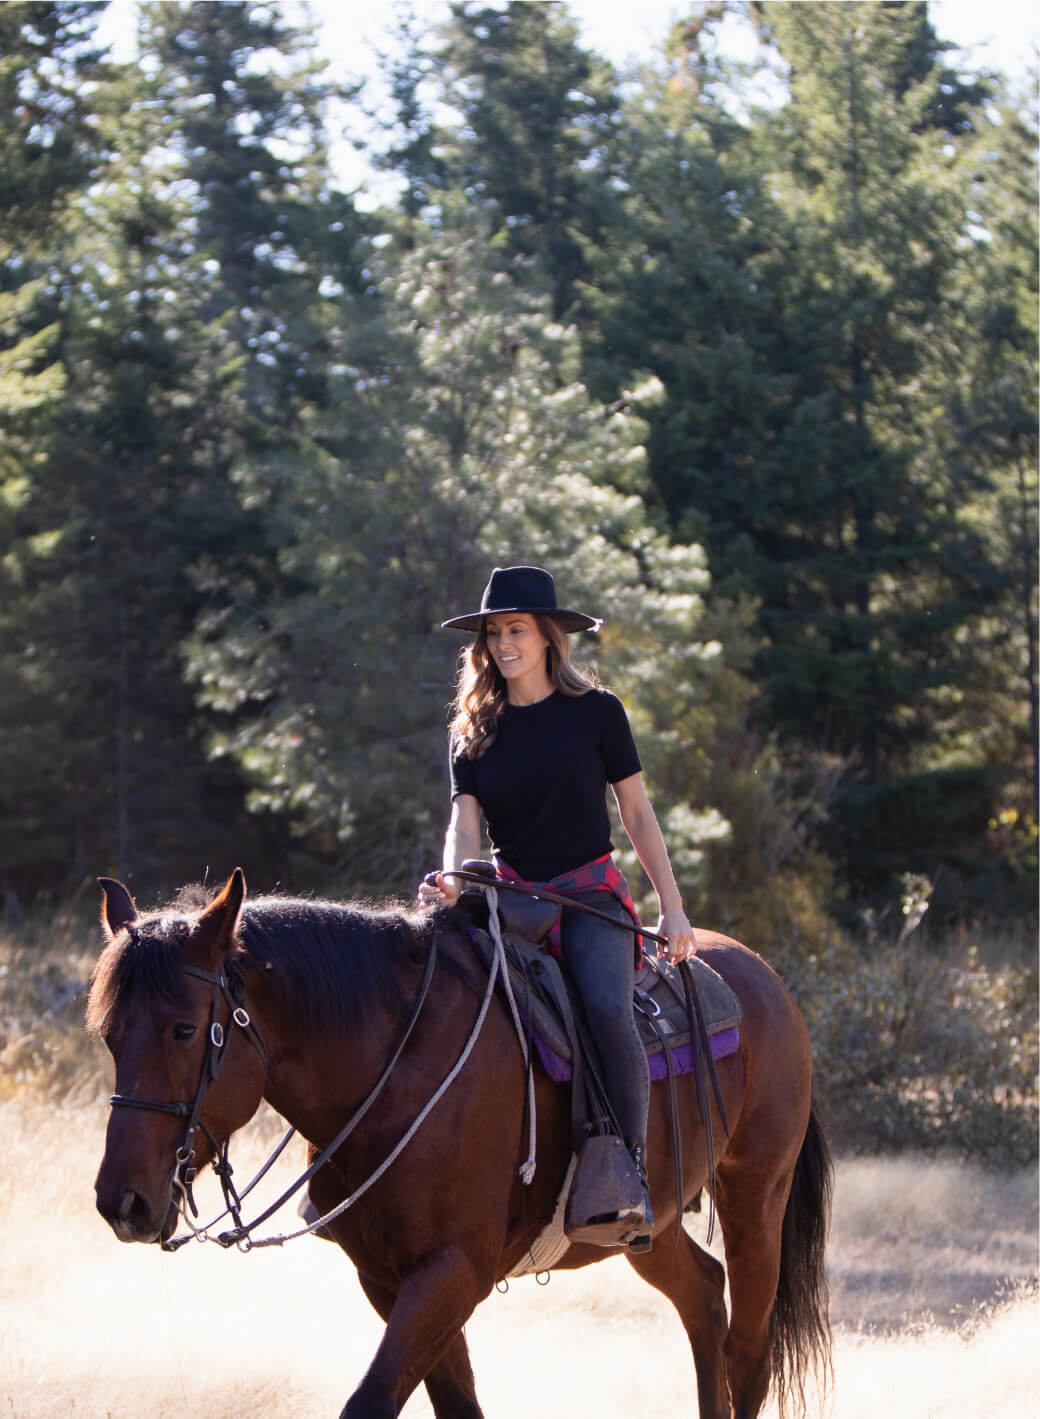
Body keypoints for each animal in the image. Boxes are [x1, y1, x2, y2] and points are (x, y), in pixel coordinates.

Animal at [89, 862, 834, 1419]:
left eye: (186, 1028)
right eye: (109, 1034)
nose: (121, 1203)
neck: (399, 1064)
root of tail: (765, 980)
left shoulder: (453, 1270)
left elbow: (370, 1402)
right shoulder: (386, 1277)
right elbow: (458, 1406)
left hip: (755, 1197)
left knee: (749, 1349)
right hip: (647, 1225)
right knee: (704, 1299)